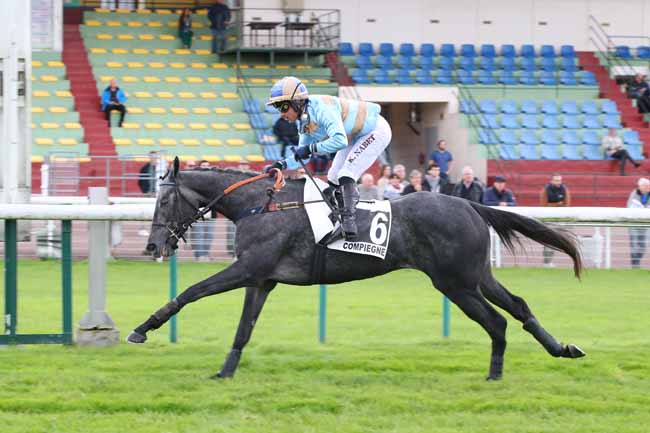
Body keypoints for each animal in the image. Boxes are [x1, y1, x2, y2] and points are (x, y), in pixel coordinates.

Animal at [129, 158, 584, 378]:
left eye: (163, 201)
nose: (152, 245)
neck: (261, 204)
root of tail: (468, 202)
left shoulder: (248, 269)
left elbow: (191, 292)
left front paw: (142, 328)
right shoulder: (262, 279)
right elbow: (244, 329)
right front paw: (225, 372)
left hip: (456, 283)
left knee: (497, 322)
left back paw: (495, 374)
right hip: (475, 277)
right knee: (518, 306)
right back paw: (562, 348)